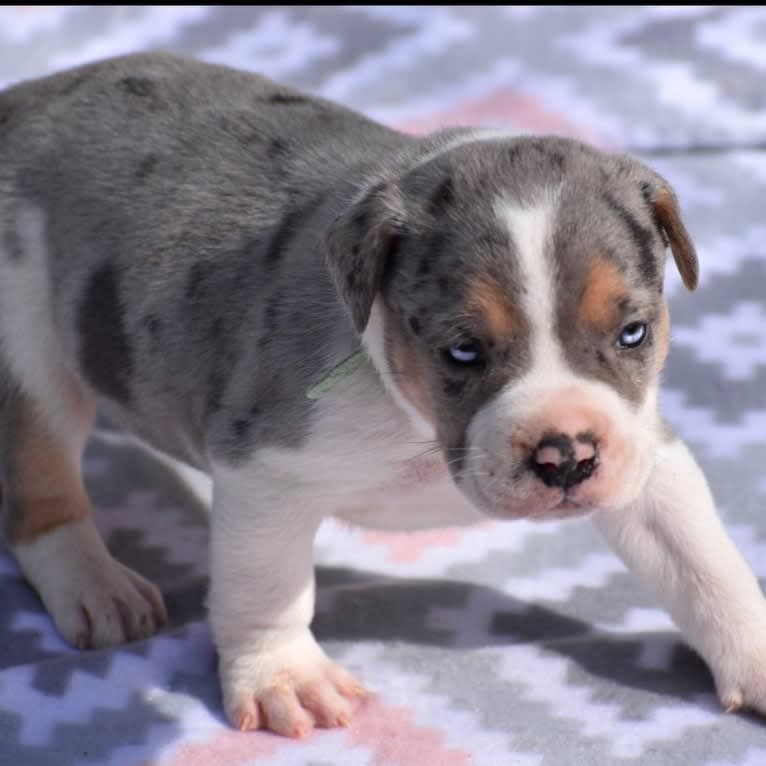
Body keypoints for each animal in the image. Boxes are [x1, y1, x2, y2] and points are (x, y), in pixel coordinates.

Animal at [1, 52, 766, 736]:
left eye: (634, 333)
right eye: (462, 351)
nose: (566, 456)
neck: (416, 420)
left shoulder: (643, 454)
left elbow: (701, 560)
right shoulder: (265, 471)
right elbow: (267, 583)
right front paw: (283, 675)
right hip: (27, 357)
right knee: (43, 487)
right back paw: (95, 585)